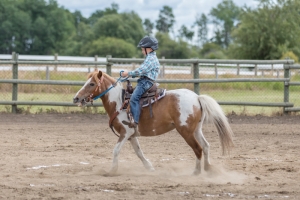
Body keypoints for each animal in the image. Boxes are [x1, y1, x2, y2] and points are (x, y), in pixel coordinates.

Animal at [73, 70, 234, 175]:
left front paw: (111, 171)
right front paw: (149, 167)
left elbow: (116, 150)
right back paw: (208, 169)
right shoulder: (132, 135)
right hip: (196, 129)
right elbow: (139, 152)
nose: (76, 98)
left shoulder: (125, 132)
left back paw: (196, 172)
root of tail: (197, 97)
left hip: (186, 131)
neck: (119, 102)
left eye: (92, 84)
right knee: (206, 146)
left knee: (198, 149)